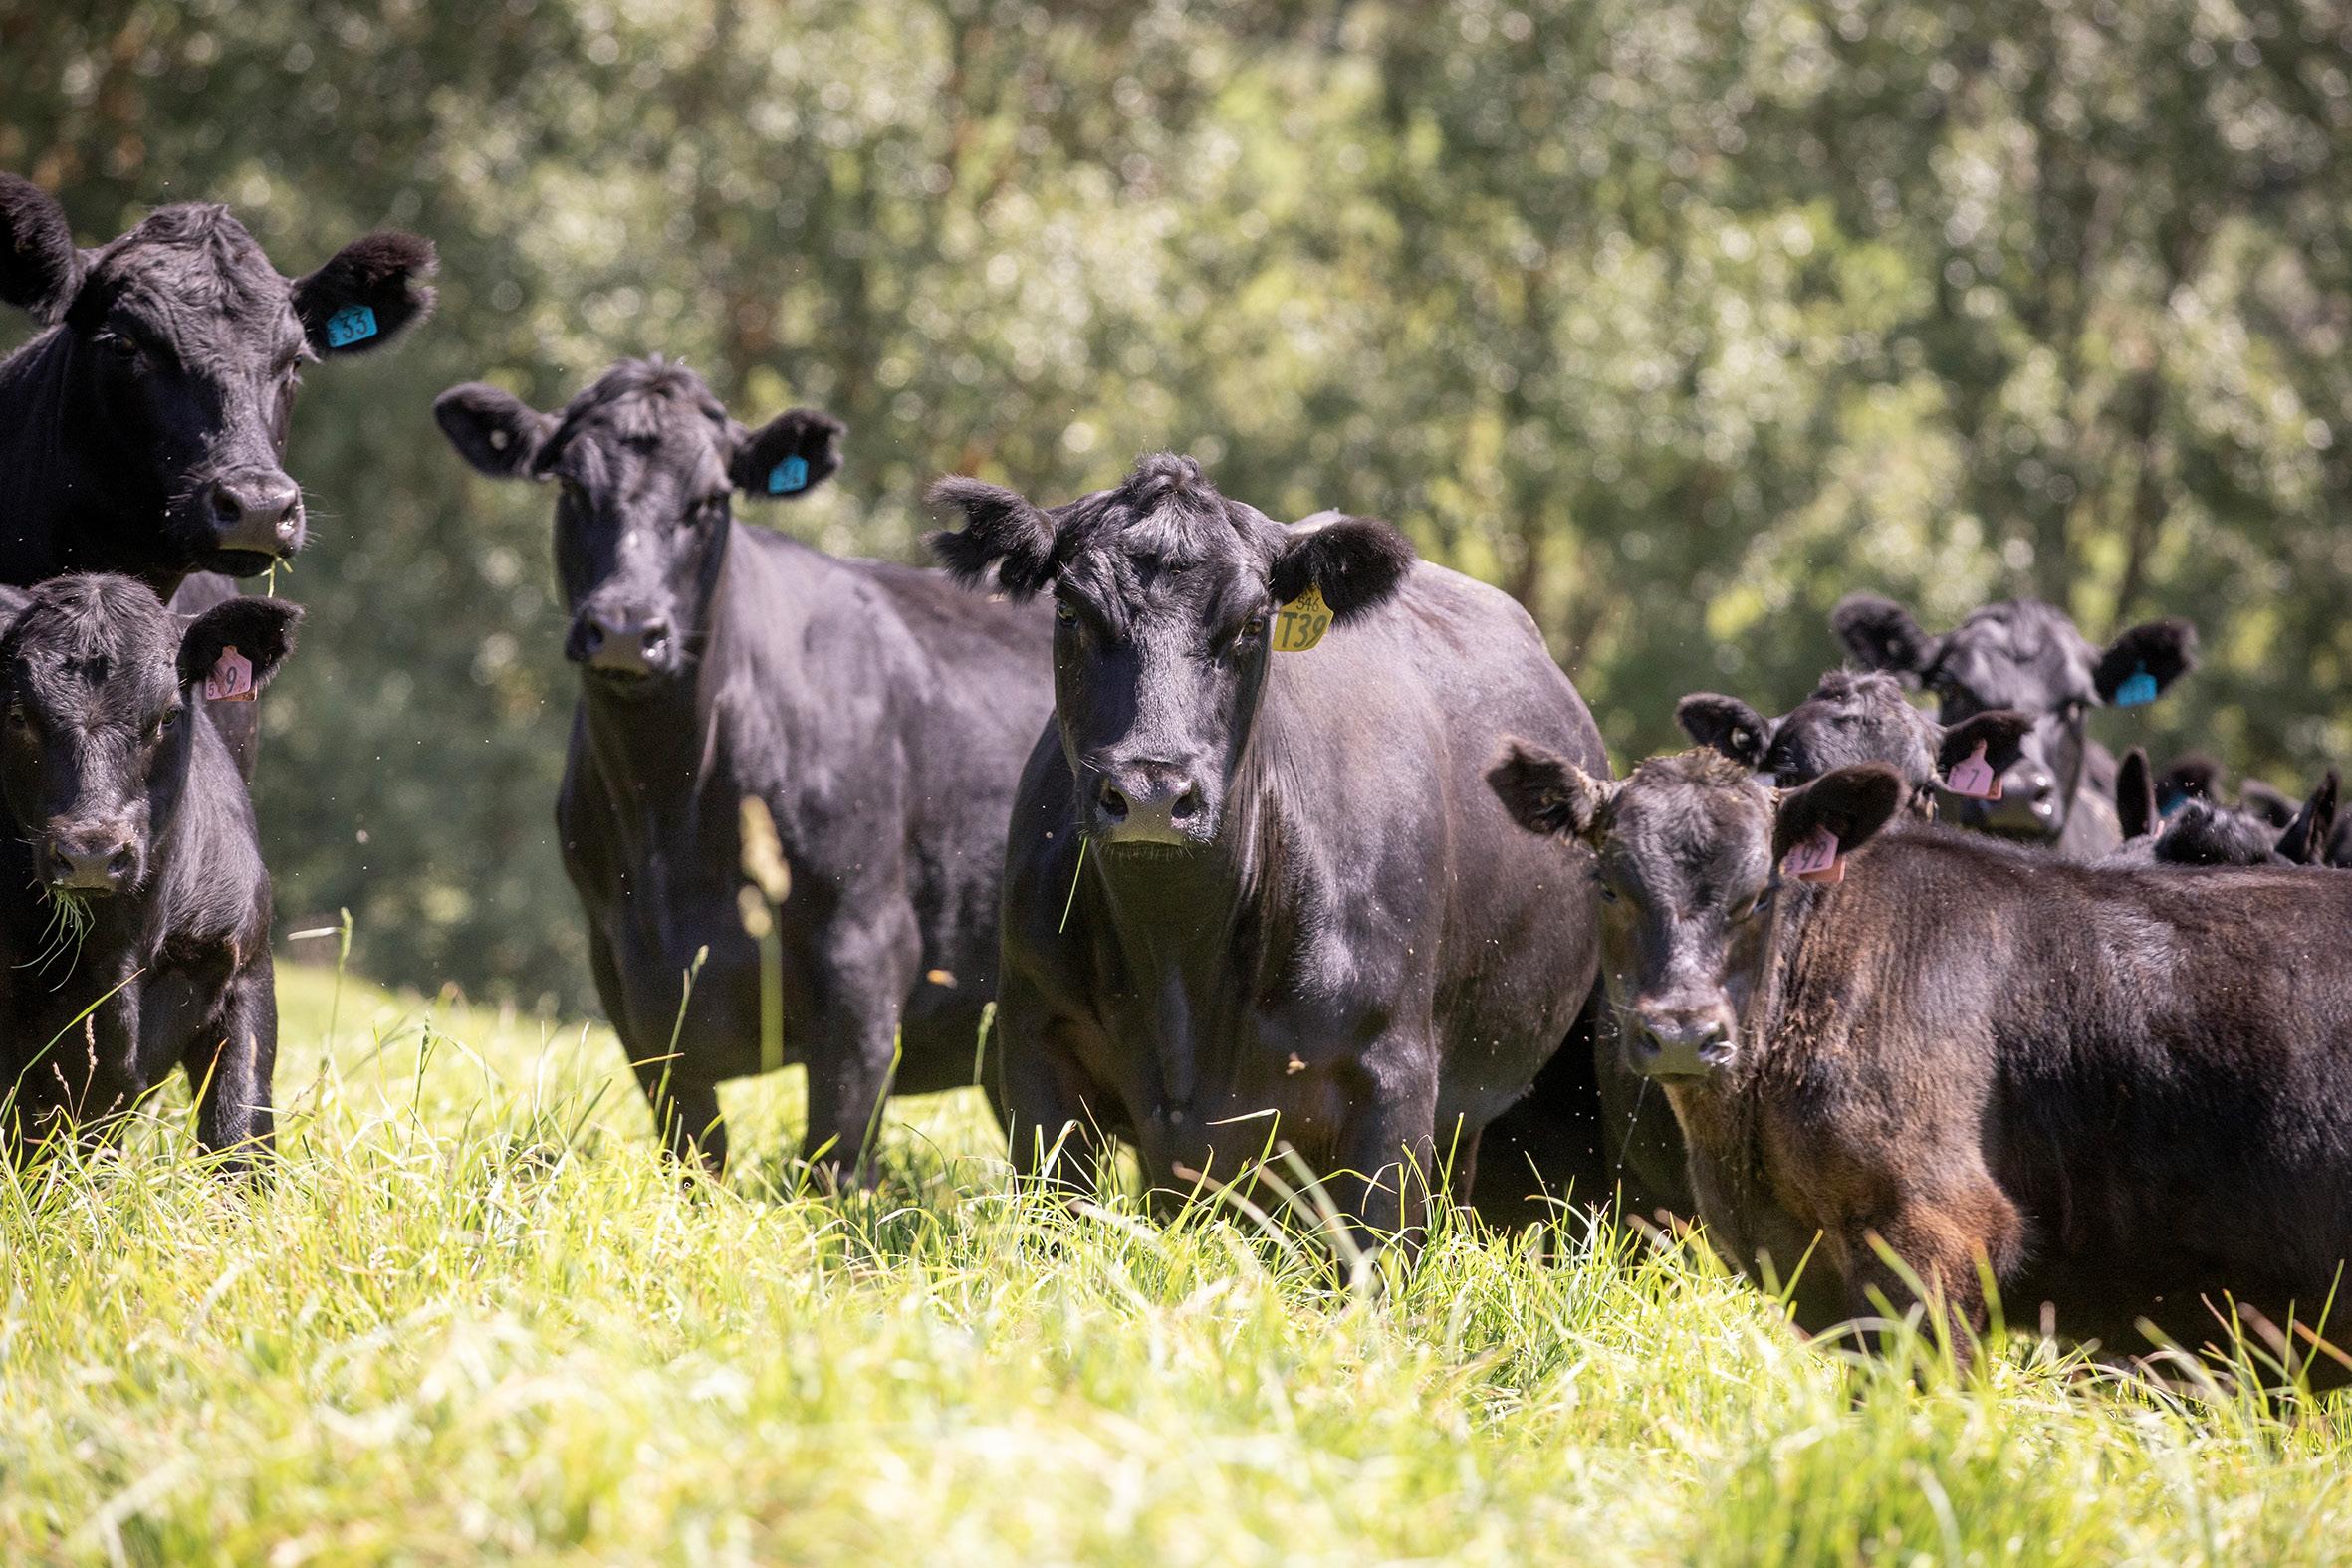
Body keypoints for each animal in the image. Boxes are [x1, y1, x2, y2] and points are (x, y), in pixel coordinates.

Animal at [435, 359, 1054, 1180]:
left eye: (710, 498)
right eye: (571, 484)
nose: (626, 628)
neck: (670, 807)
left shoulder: (867, 952)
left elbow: (835, 1159)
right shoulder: (627, 976)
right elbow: (696, 1151)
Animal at [925, 453, 1631, 1245]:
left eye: (1250, 624)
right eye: (1071, 612)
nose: (1150, 790)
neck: (1178, 950)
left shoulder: (1392, 1086)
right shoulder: (1038, 1052)